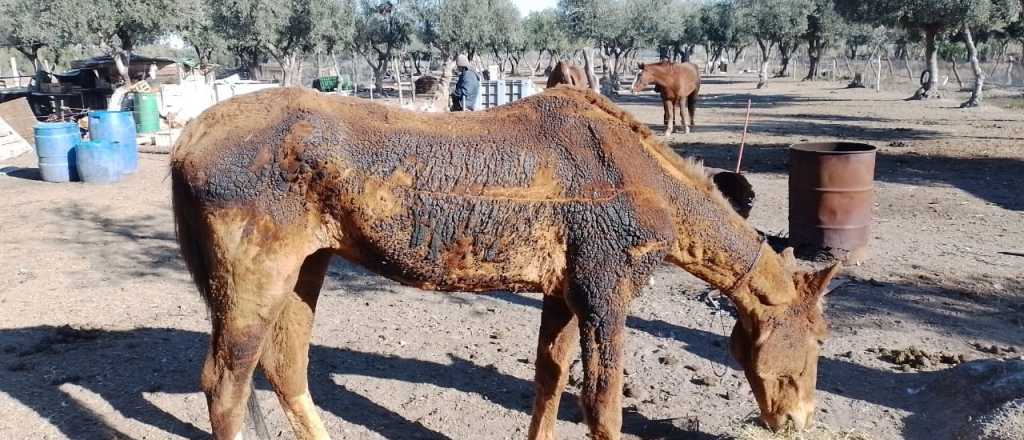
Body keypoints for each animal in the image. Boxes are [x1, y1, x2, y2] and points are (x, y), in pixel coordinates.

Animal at [169, 85, 839, 440]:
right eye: (817, 339)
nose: (799, 417)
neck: (648, 182)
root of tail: (185, 141)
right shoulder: (605, 292)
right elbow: (602, 407)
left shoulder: (563, 292)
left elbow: (549, 381)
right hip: (254, 281)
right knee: (225, 386)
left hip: (307, 269)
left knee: (287, 371)